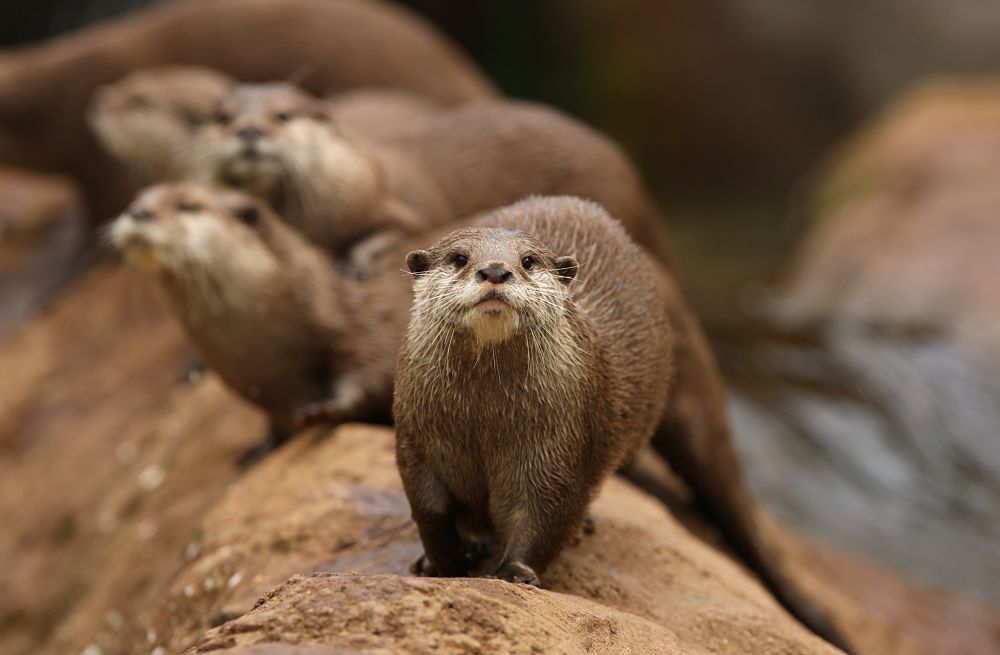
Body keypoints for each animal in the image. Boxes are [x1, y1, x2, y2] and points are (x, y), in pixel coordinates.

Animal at [108, 182, 406, 464]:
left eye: (189, 206)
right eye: (135, 201)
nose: (138, 212)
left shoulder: (373, 324)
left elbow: (370, 367)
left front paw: (326, 407)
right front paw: (263, 444)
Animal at [394, 197, 848, 652]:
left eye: (527, 261)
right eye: (459, 258)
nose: (495, 270)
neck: (484, 424)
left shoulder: (562, 442)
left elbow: (547, 510)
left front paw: (514, 573)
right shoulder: (416, 439)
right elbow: (428, 508)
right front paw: (443, 562)